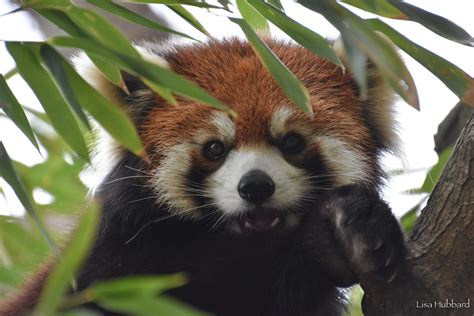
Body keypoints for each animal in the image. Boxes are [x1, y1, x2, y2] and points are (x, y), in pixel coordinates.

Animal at [1, 37, 406, 316]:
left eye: (291, 141)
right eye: (215, 148)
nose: (255, 186)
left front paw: (358, 226)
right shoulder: (107, 268)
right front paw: (319, 242)